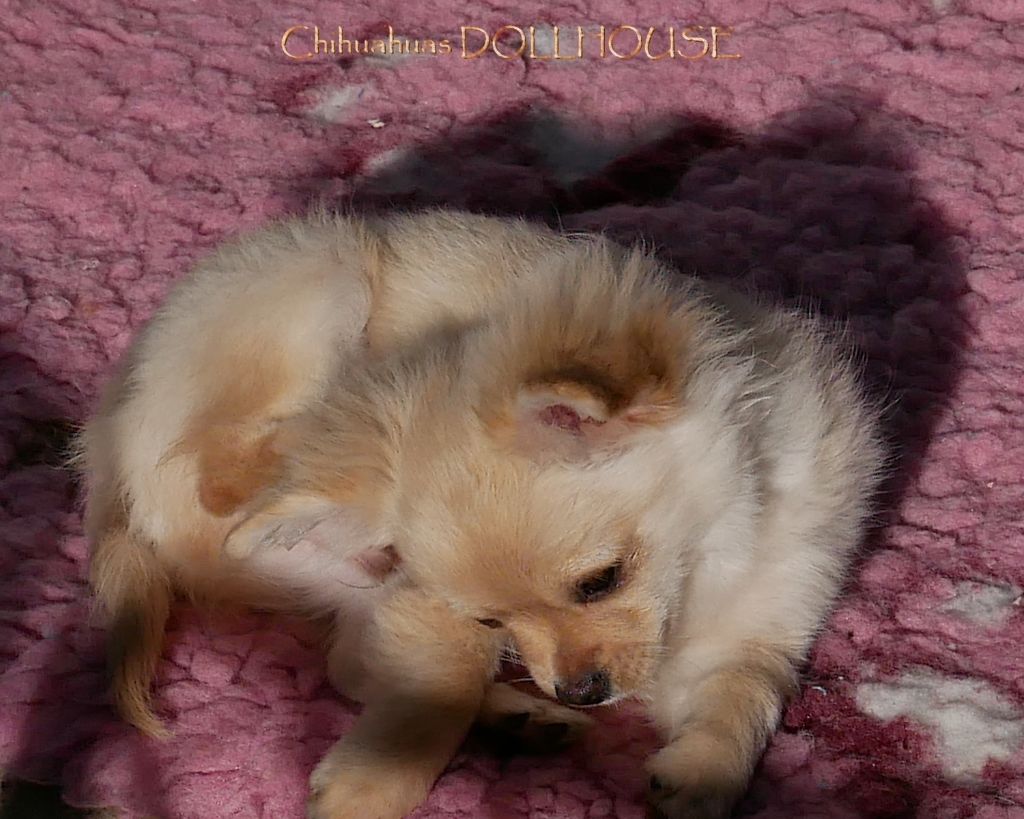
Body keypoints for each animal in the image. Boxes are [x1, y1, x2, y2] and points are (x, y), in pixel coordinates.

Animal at [78, 209, 884, 818]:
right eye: (494, 619)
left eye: (600, 581)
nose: (581, 691)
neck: (713, 552)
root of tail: (106, 436)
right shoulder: (431, 607)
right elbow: (445, 677)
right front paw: (375, 782)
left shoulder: (768, 610)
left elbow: (740, 695)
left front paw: (703, 777)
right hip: (322, 281)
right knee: (222, 468)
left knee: (345, 657)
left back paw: (520, 716)